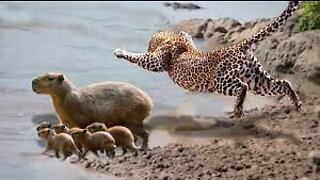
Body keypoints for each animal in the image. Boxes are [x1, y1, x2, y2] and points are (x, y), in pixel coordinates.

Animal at [113, 1, 302, 118]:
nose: (149, 46)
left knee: (243, 87)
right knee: (283, 83)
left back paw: (238, 110)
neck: (172, 40)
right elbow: (186, 35)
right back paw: (297, 103)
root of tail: (237, 47)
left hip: (221, 81)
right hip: (256, 78)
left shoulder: (157, 62)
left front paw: (120, 52)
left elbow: (139, 57)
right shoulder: (184, 41)